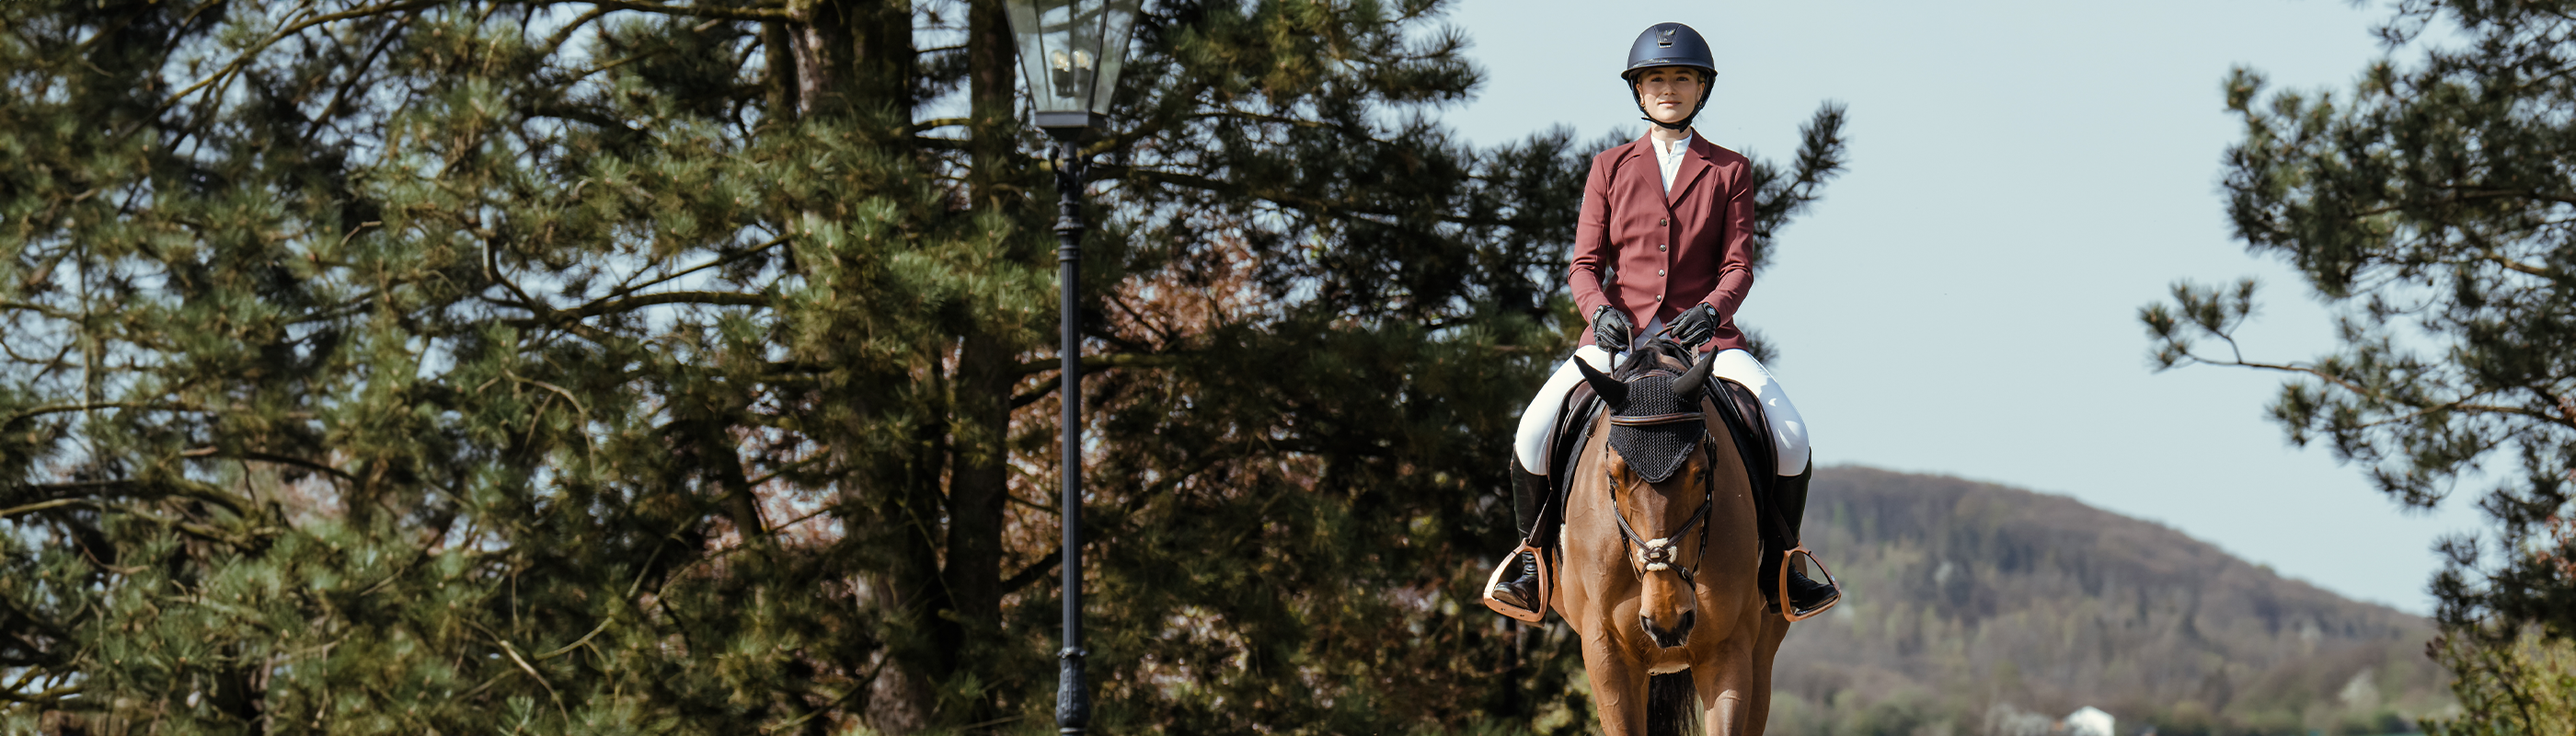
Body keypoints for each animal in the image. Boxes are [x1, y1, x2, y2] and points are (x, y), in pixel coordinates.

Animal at [1546, 339, 1792, 736]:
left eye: (1702, 473)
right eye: (1613, 476)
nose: (1667, 619)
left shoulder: (1728, 647)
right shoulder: (1605, 651)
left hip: (1763, 648)